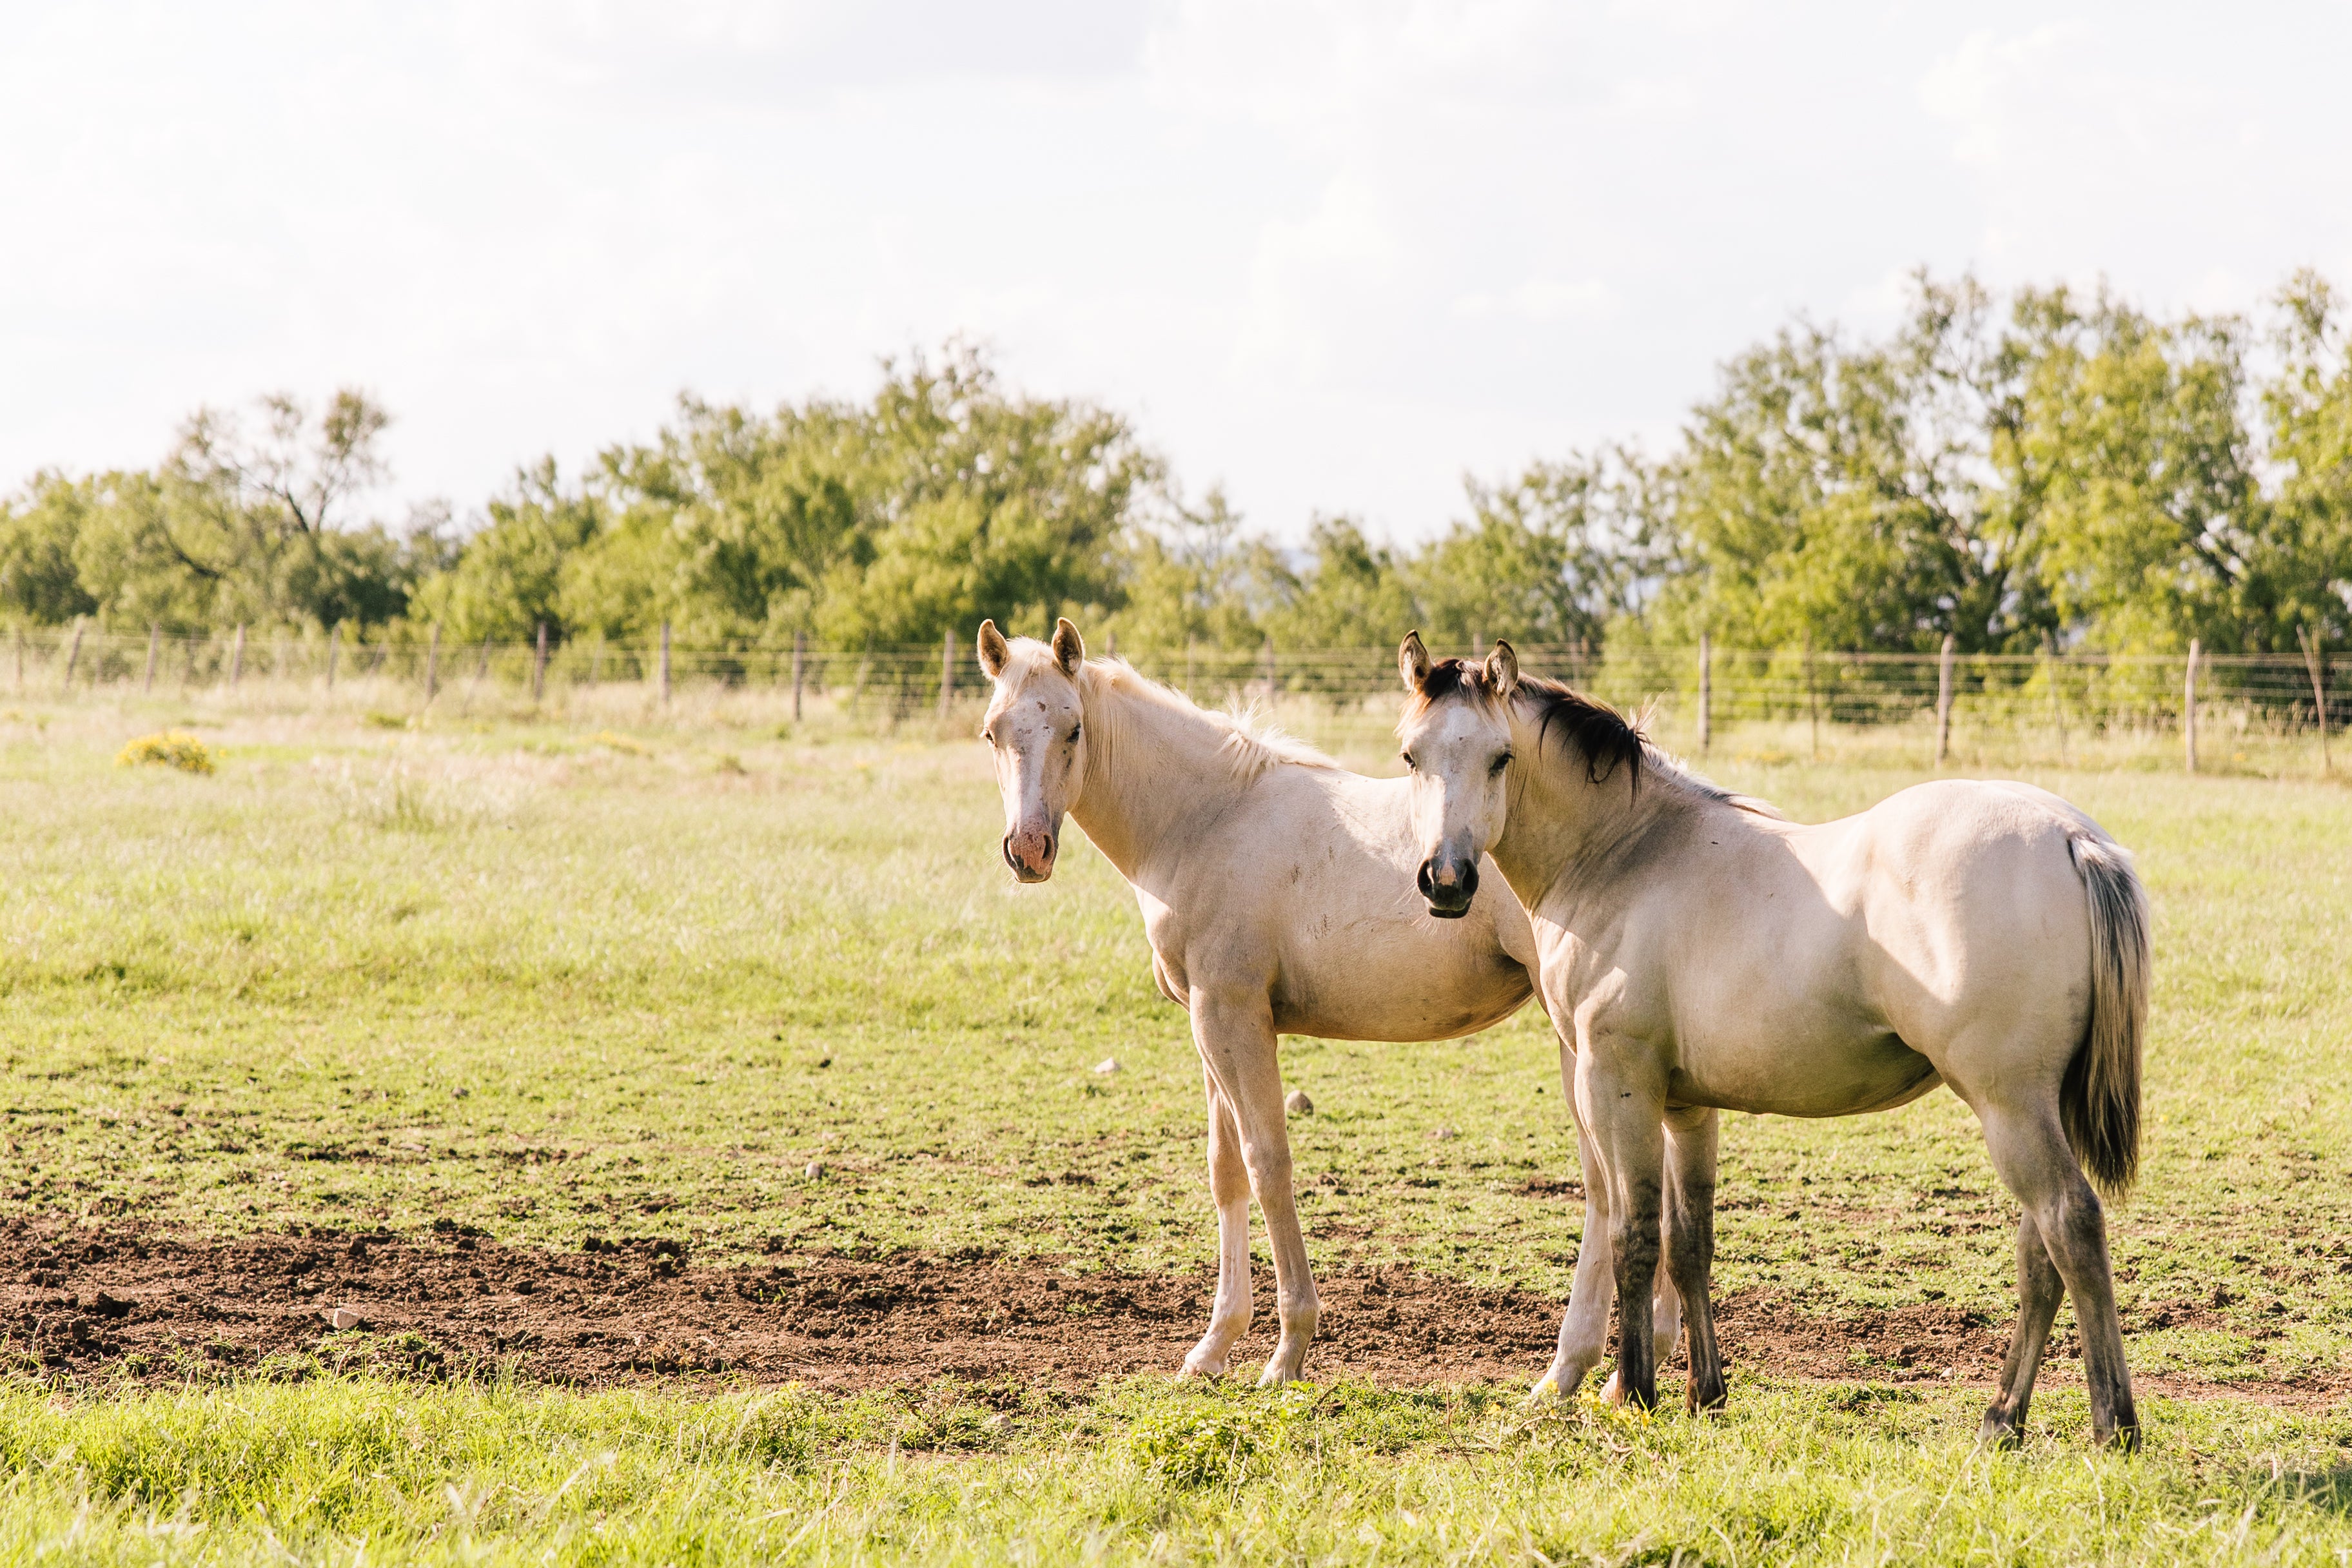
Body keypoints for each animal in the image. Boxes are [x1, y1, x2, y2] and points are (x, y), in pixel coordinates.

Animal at [975, 617, 1540, 1384]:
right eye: (993, 731)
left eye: (1073, 728)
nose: (1028, 849)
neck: (1207, 819)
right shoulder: (1206, 1022)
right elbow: (1227, 1170)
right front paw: (1213, 1346)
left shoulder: (1234, 1015)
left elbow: (1268, 1161)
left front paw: (1288, 1350)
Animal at [1392, 632, 2150, 1449]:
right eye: (1410, 754)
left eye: (1500, 757)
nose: (1446, 880)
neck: (1628, 852)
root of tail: (2074, 838)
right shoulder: (1687, 1107)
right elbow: (1689, 1242)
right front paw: (1705, 1391)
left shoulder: (1617, 1083)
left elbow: (1635, 1236)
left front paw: (1634, 1392)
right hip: (2039, 1105)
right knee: (2040, 1252)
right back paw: (2002, 1417)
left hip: (2008, 1104)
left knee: (2071, 1225)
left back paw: (2113, 1422)